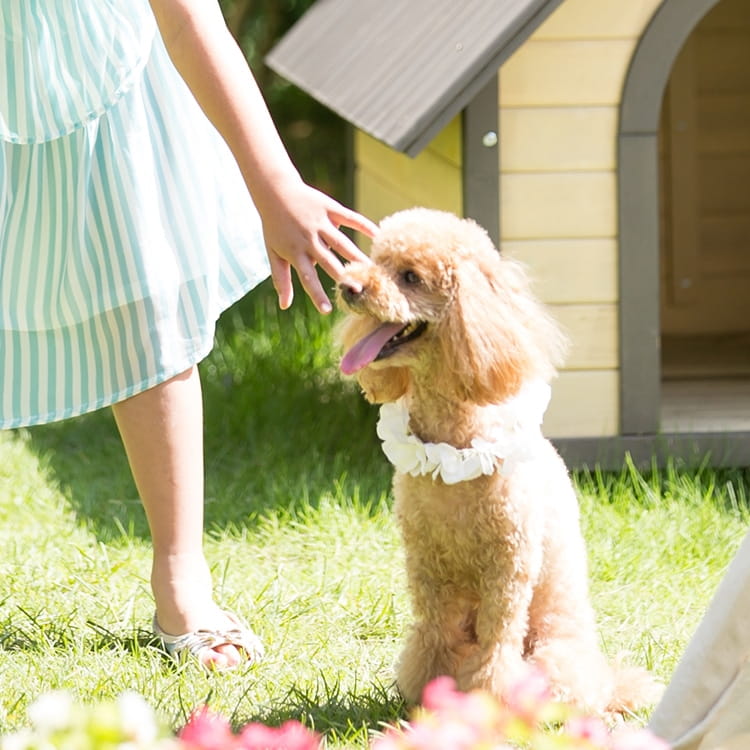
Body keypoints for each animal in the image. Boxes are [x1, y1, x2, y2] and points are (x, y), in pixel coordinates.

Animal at [338, 207, 660, 716]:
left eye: (410, 277)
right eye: (374, 259)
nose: (347, 286)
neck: (451, 446)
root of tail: (609, 685)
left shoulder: (506, 565)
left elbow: (497, 643)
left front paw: (487, 698)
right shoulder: (426, 563)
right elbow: (433, 634)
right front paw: (429, 692)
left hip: (555, 649)